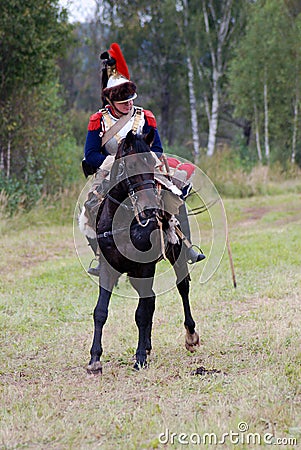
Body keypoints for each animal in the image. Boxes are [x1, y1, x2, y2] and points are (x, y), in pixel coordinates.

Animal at [87, 129, 199, 372]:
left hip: (175, 257)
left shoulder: (145, 267)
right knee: (151, 299)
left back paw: (190, 336)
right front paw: (94, 359)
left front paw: (139, 358)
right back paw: (147, 346)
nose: (150, 208)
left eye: (152, 163)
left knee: (182, 288)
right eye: (131, 164)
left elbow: (141, 313)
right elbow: (100, 312)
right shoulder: (109, 269)